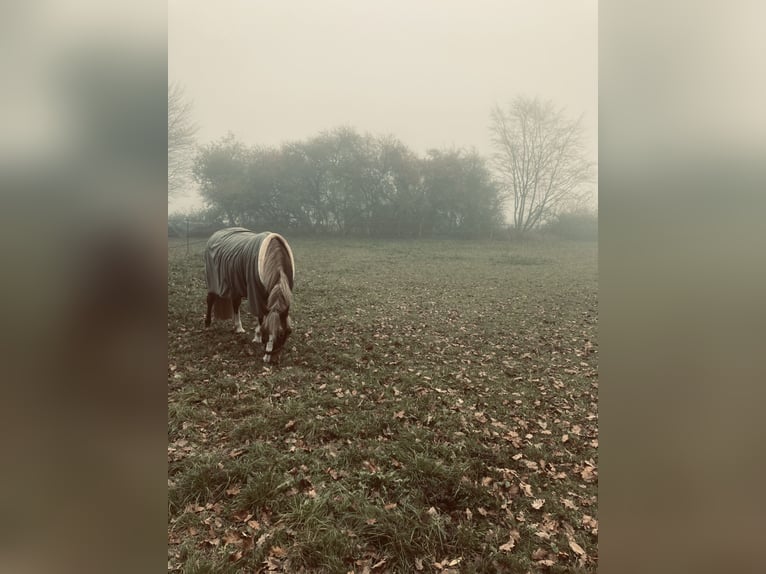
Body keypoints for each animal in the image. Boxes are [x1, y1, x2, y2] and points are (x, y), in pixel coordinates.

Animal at [206, 227, 296, 362]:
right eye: (265, 331)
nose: (268, 360)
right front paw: (257, 337)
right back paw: (207, 324)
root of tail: (215, 234)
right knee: (210, 299)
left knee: (236, 304)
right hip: (214, 282)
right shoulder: (256, 294)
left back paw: (238, 327)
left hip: (235, 284)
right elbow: (260, 316)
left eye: (281, 334)